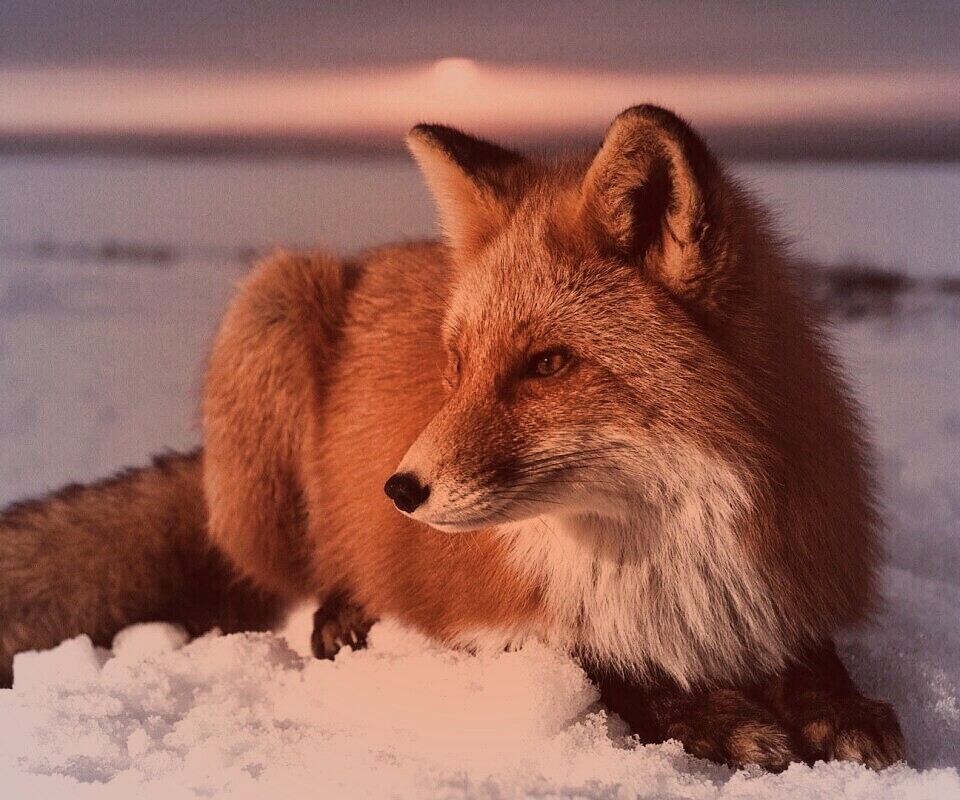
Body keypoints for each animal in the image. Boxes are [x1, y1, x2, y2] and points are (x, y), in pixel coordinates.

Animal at [0, 105, 904, 771]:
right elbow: (602, 666)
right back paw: (341, 612)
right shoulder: (481, 613)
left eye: (548, 363)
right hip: (273, 305)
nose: (398, 491)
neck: (664, 554)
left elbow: (812, 654)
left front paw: (836, 707)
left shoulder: (784, 572)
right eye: (458, 364)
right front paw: (718, 717)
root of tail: (374, 255)